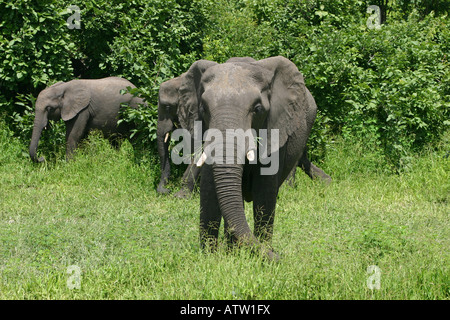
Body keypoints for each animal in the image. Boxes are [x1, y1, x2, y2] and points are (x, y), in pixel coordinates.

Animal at [171, 55, 328, 260]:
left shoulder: (276, 126)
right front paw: (211, 257)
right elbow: (209, 190)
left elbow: (265, 192)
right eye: (203, 108)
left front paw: (259, 251)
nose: (279, 257)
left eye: (258, 108)